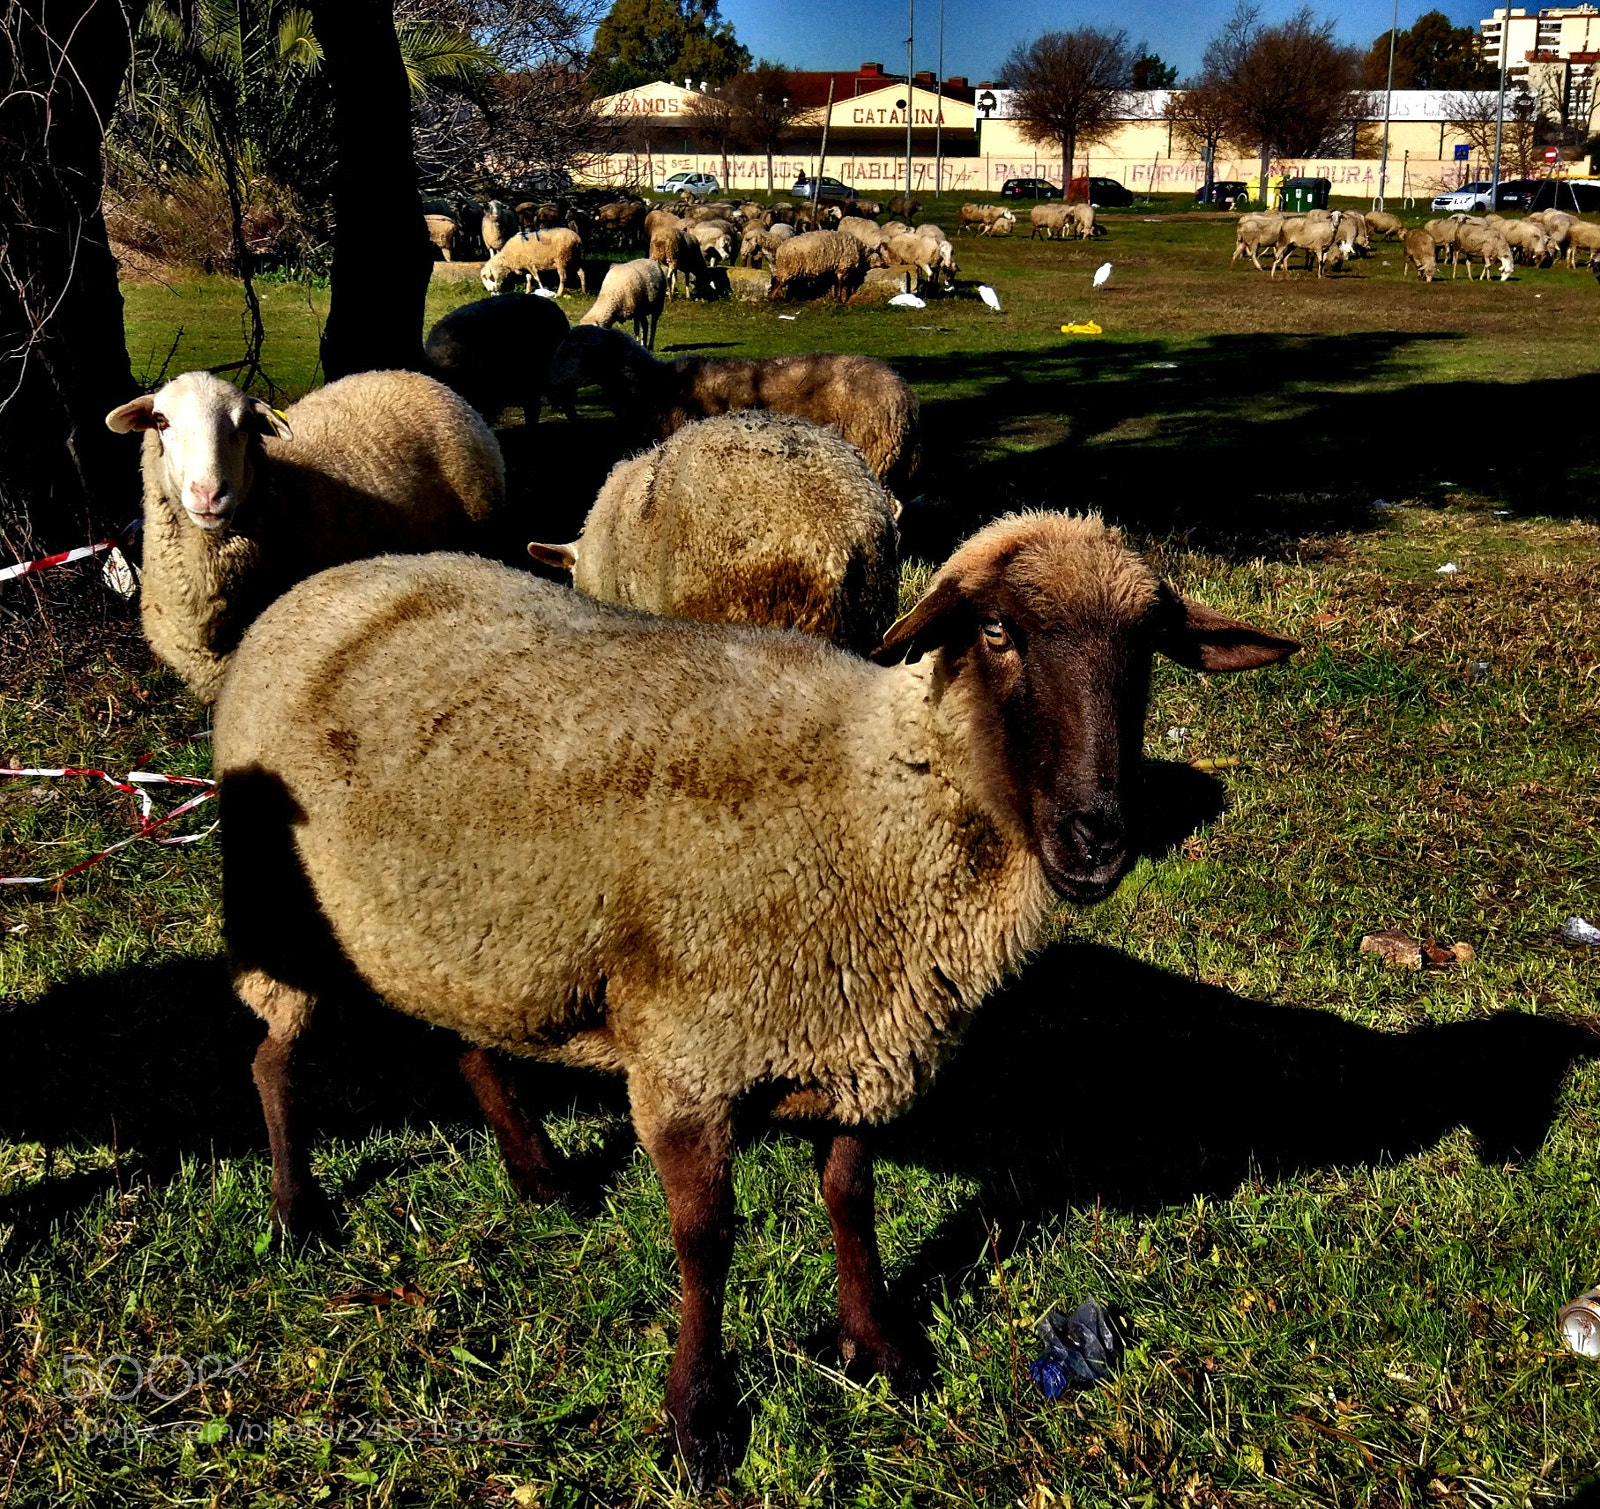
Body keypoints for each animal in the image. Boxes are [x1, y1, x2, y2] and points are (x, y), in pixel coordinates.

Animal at [215, 511, 1298, 1488]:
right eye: (996, 632)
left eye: (1147, 650)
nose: (1096, 838)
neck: (869, 796)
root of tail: (320, 584)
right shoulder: (689, 1057)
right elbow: (708, 1242)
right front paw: (699, 1421)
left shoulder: (862, 1039)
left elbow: (850, 1197)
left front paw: (878, 1347)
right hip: (281, 911)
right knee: (270, 1057)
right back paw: (298, 1210)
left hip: (461, 930)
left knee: (468, 1039)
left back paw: (540, 1176)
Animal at [546, 325, 920, 493]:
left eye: (575, 350)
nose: (550, 385)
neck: (654, 385)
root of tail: (904, 394)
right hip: (889, 458)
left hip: (873, 449)